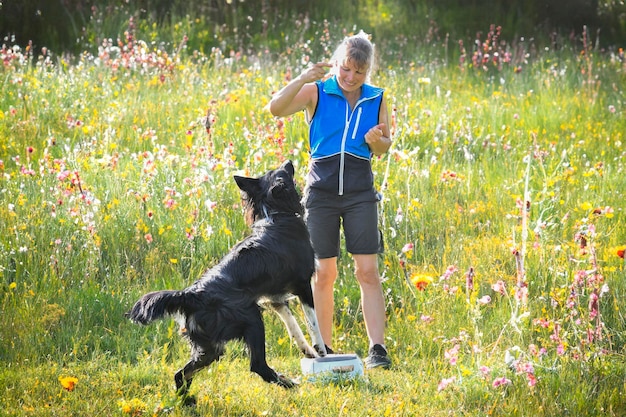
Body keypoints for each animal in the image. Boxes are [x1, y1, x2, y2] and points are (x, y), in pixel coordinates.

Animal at [125, 159, 324, 396]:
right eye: (283, 172)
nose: (289, 161)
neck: (276, 216)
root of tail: (190, 295)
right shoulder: (303, 285)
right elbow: (313, 322)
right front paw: (322, 350)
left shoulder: (273, 299)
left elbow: (293, 326)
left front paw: (307, 350)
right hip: (251, 320)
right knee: (257, 365)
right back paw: (289, 383)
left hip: (210, 347)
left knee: (182, 373)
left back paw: (187, 400)